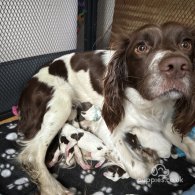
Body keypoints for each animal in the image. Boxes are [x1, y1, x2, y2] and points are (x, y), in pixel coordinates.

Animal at [17, 22, 195, 194]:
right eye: (141, 47)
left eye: (186, 44)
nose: (177, 65)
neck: (147, 103)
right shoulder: (108, 127)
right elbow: (140, 169)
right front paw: (147, 160)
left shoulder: (165, 122)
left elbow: (190, 147)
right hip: (61, 101)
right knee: (31, 156)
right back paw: (57, 189)